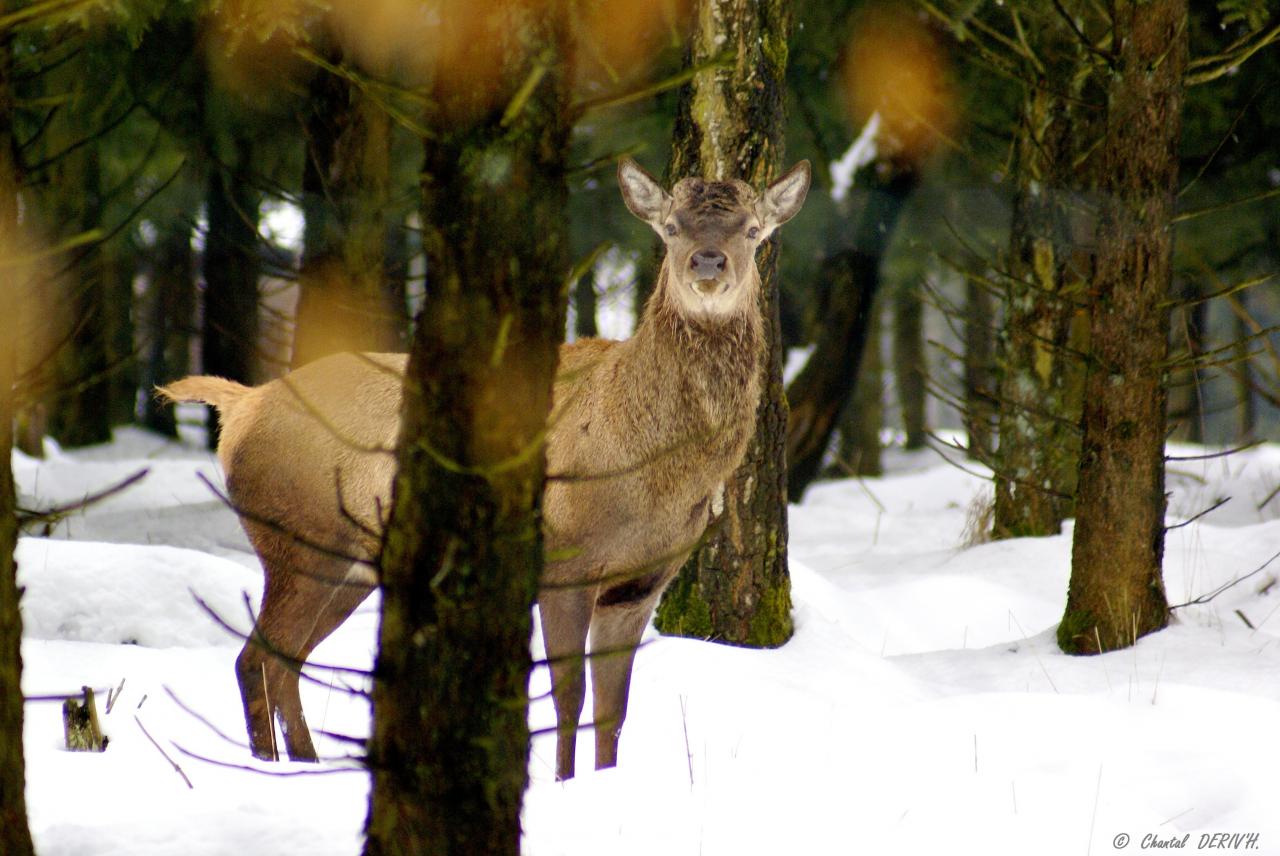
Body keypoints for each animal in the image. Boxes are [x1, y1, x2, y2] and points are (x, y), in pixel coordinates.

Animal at [154, 156, 803, 777]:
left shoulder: (641, 585)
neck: (642, 467)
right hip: (298, 542)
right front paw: (563, 783)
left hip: (350, 564)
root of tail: (242, 406)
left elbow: (612, 711)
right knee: (256, 658)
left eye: (752, 230)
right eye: (670, 227)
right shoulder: (565, 564)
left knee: (283, 661)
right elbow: (567, 698)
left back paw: (304, 764)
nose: (708, 263)